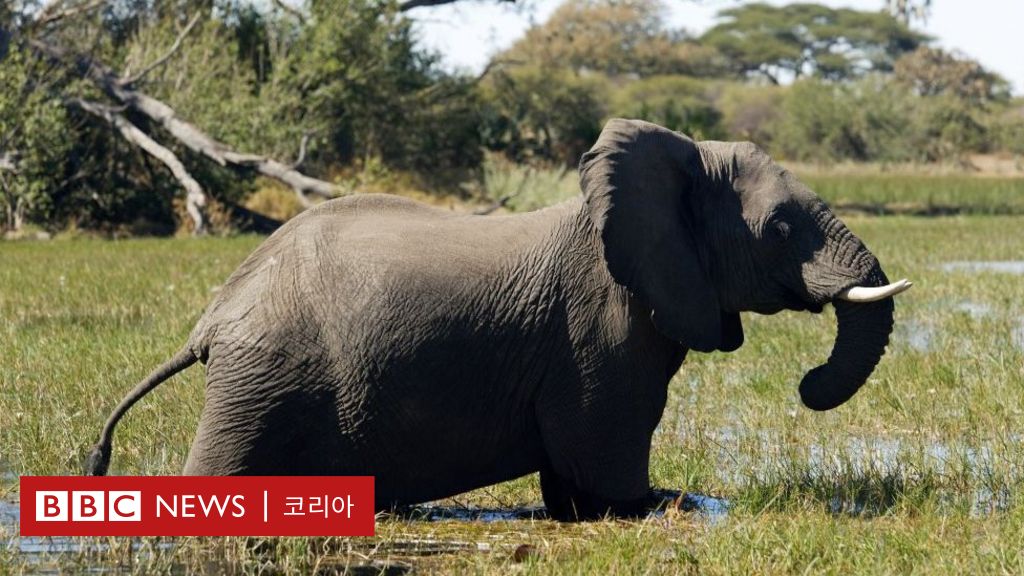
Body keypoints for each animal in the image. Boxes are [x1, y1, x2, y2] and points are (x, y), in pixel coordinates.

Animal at [83, 117, 909, 520]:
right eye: (778, 229)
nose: (807, 383)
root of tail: (213, 317)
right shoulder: (599, 323)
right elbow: (606, 457)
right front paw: (669, 504)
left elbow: (572, 479)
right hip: (264, 377)